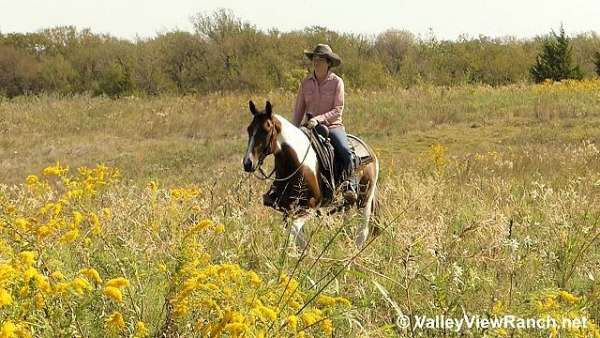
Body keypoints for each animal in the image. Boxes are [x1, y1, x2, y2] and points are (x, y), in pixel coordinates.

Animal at [241, 99, 378, 248]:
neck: (297, 164)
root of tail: (368, 150)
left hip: (365, 199)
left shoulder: (308, 209)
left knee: (362, 230)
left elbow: (294, 232)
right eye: (249, 129)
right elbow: (298, 237)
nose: (248, 163)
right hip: (346, 204)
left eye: (266, 130)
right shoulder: (288, 209)